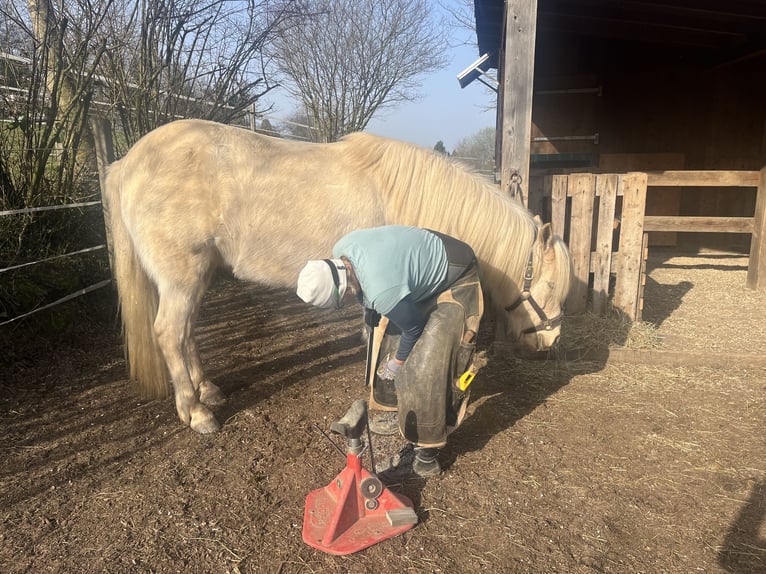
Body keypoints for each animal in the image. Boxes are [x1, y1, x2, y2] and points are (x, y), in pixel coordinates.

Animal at [103, 119, 572, 434]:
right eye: (549, 287)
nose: (549, 341)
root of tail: (126, 163)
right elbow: (386, 343)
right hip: (181, 277)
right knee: (169, 333)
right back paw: (197, 412)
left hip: (196, 276)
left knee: (186, 334)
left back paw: (208, 391)